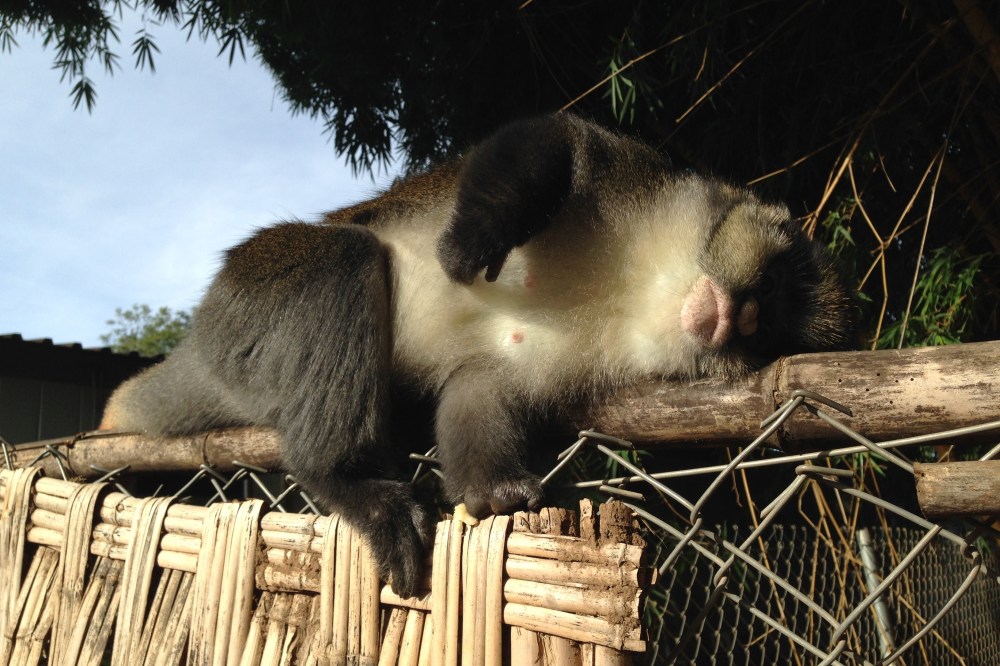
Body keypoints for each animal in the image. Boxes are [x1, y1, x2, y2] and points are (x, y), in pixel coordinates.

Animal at [100, 114, 855, 597]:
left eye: (768, 333)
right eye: (771, 290)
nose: (737, 319)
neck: (643, 289)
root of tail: (200, 339)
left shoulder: (548, 366)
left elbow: (482, 393)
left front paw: (494, 493)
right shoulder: (637, 175)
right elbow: (551, 139)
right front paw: (472, 244)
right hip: (248, 300)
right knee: (345, 258)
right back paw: (346, 476)